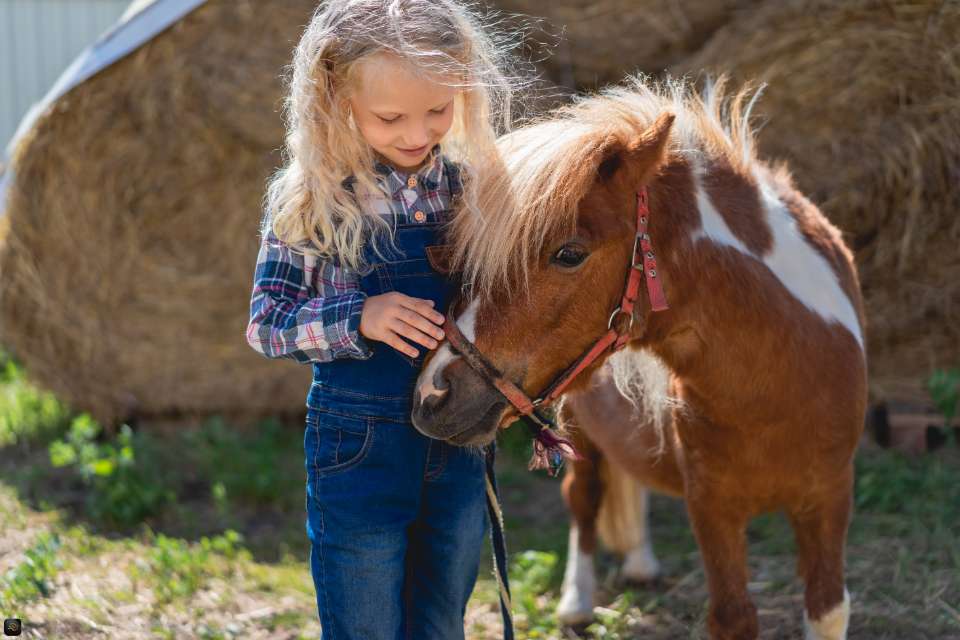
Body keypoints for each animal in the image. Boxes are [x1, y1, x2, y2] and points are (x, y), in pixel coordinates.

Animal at [411, 76, 867, 640]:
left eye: (568, 253)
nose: (432, 394)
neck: (777, 383)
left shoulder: (829, 497)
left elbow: (827, 607)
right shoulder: (712, 508)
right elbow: (734, 616)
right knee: (583, 501)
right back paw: (577, 601)